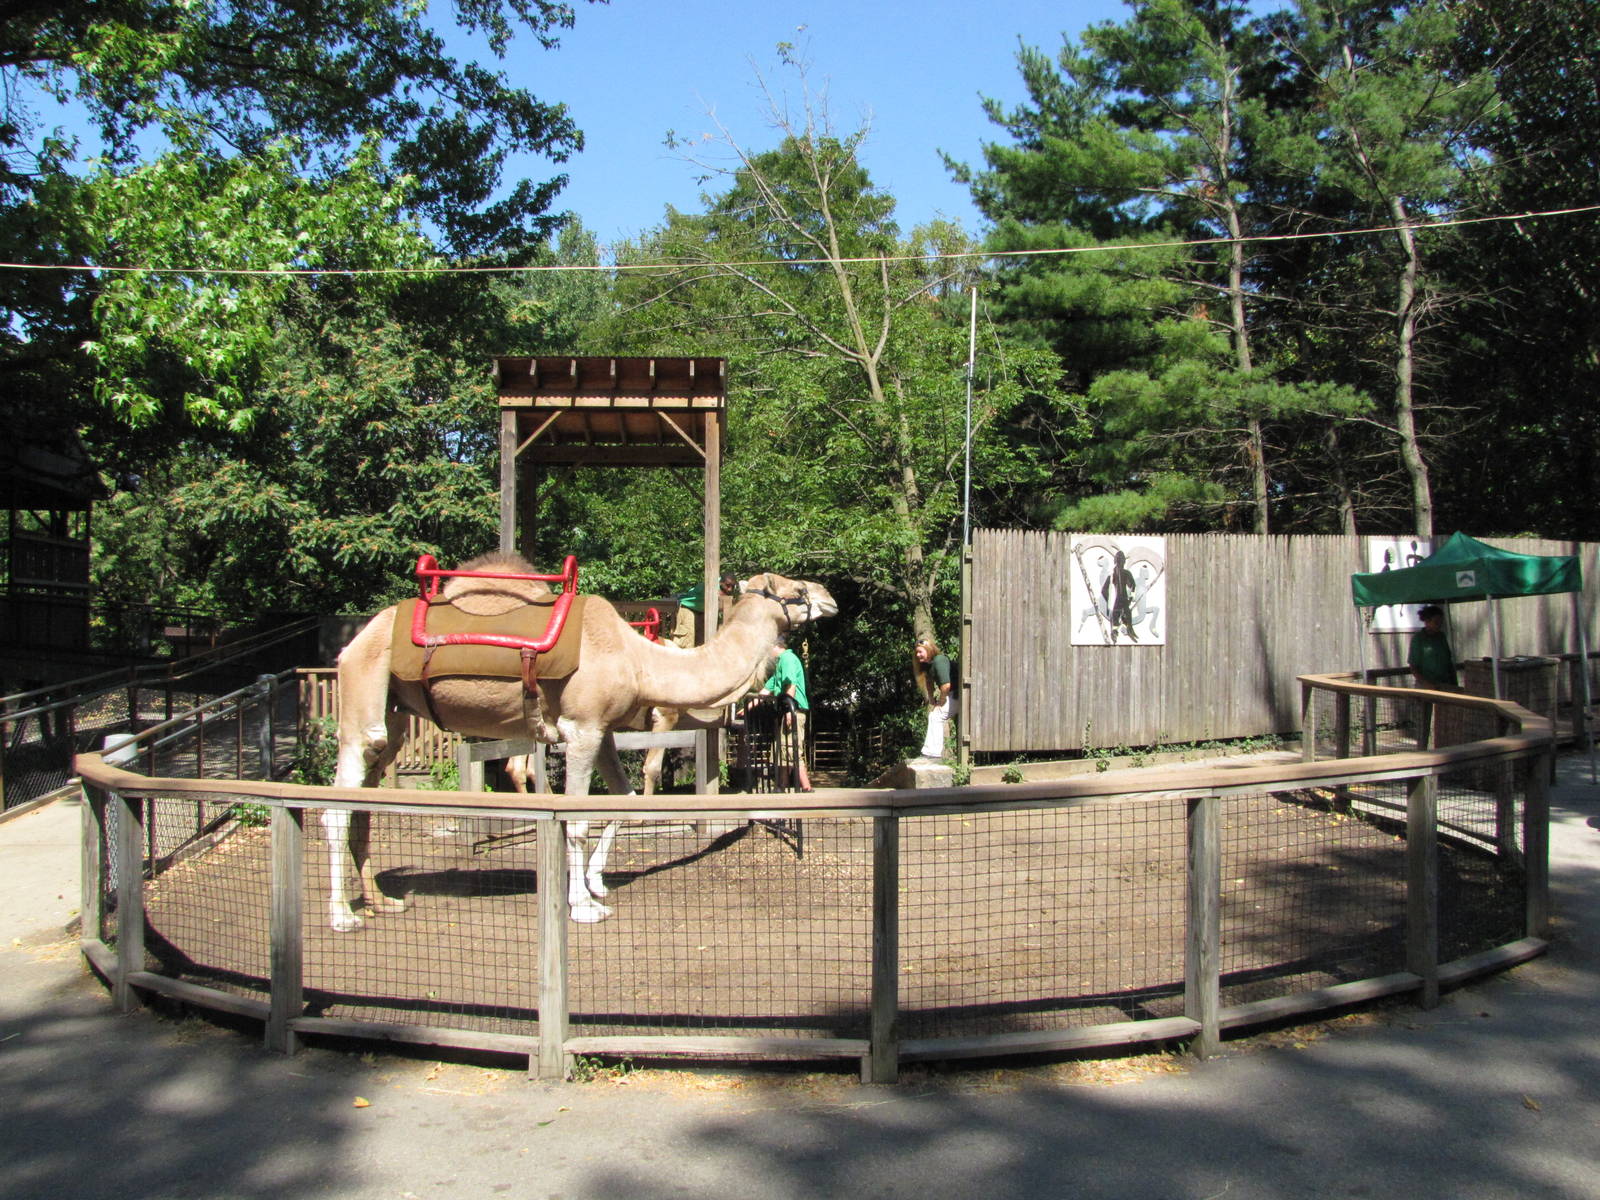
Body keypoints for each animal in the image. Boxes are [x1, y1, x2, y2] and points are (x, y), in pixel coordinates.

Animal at [328, 553, 836, 928]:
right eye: (793, 590)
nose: (830, 597)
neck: (639, 659)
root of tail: (353, 640)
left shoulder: (604, 730)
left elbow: (624, 802)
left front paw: (595, 882)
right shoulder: (582, 728)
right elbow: (576, 818)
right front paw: (583, 906)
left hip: (396, 715)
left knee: (365, 803)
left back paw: (381, 900)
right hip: (362, 694)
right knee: (337, 804)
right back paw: (343, 916)